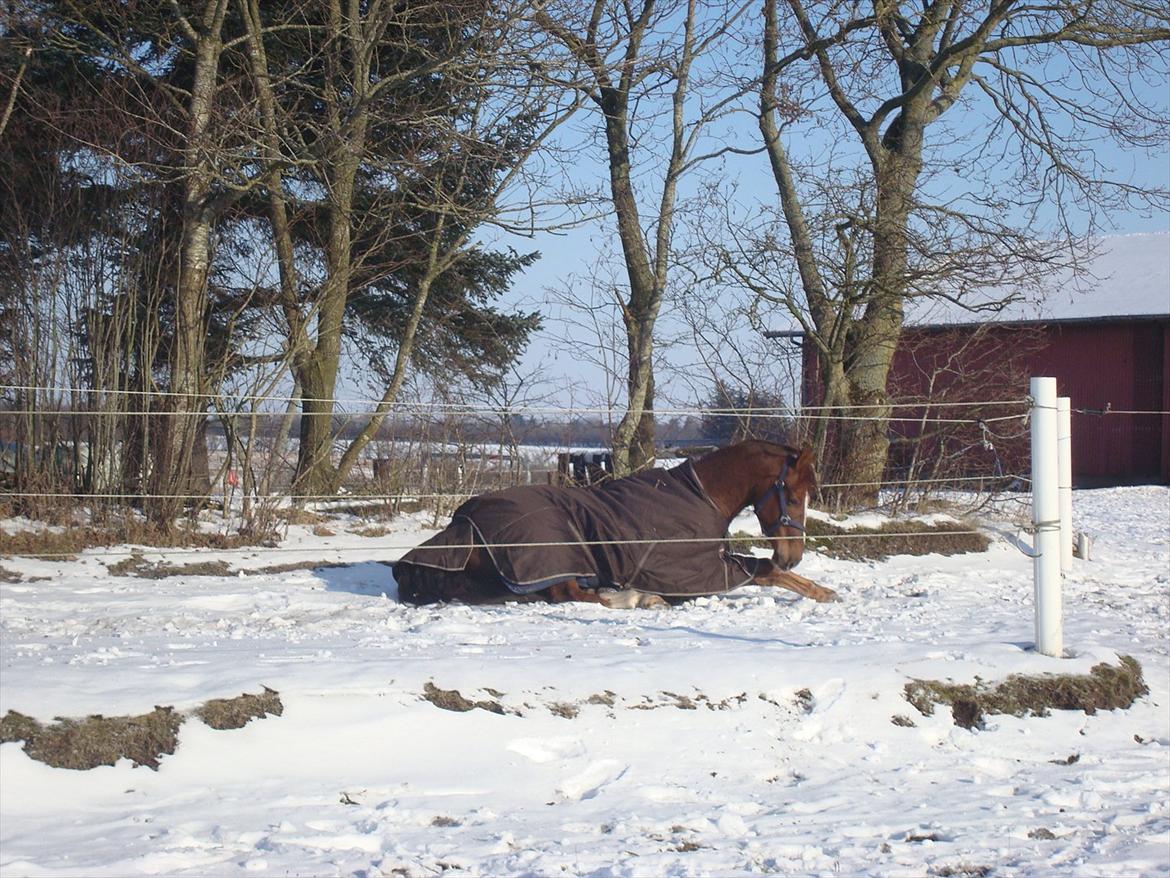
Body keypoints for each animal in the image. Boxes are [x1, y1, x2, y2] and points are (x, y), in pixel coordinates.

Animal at [395, 442, 842, 608]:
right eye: (795, 497)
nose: (793, 556)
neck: (701, 494)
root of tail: (465, 524)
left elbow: (768, 571)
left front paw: (823, 589)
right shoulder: (701, 569)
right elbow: (764, 569)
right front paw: (821, 592)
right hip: (557, 559)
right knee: (571, 594)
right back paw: (635, 598)